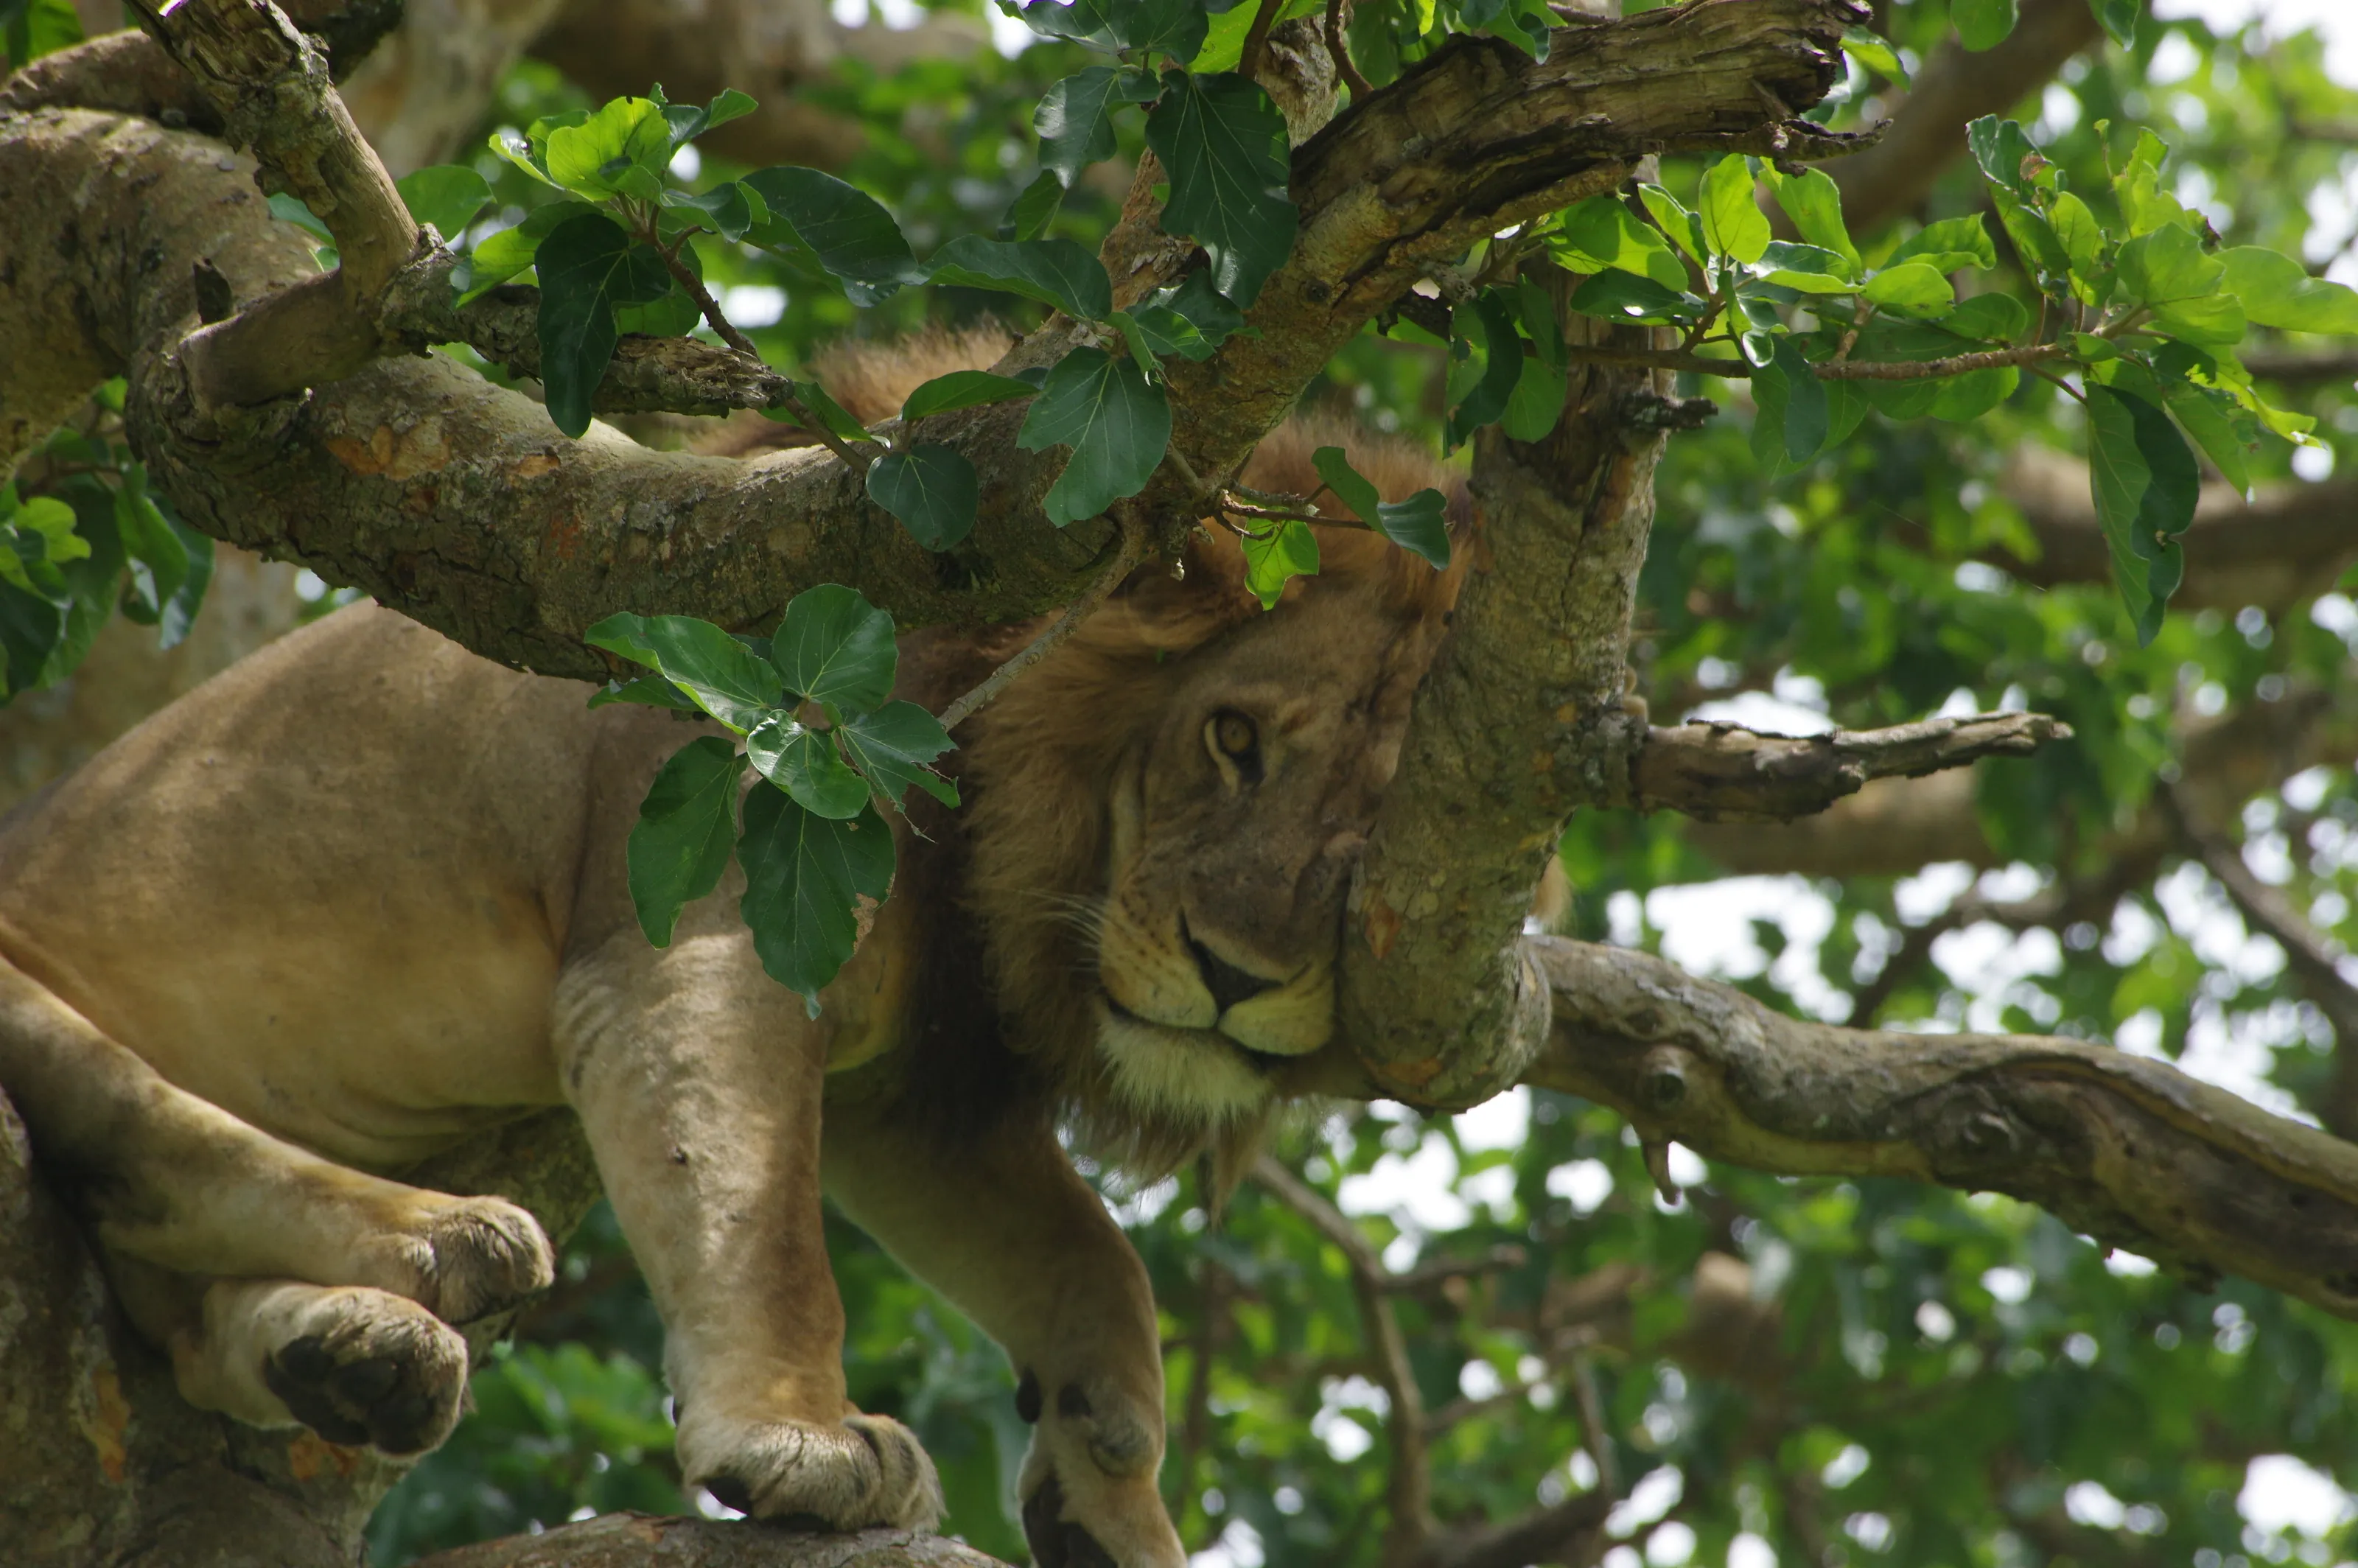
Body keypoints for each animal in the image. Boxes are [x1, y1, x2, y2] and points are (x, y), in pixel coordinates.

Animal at [0, 358, 1471, 1566]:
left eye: (1369, 842)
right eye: (1234, 738)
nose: (1234, 975)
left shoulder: (911, 1099)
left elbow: (1094, 1261)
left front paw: (1112, 1482)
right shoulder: (699, 944)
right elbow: (764, 1231)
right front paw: (802, 1445)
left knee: (187, 1317)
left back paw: (359, 1356)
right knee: (151, 1146)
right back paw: (446, 1245)